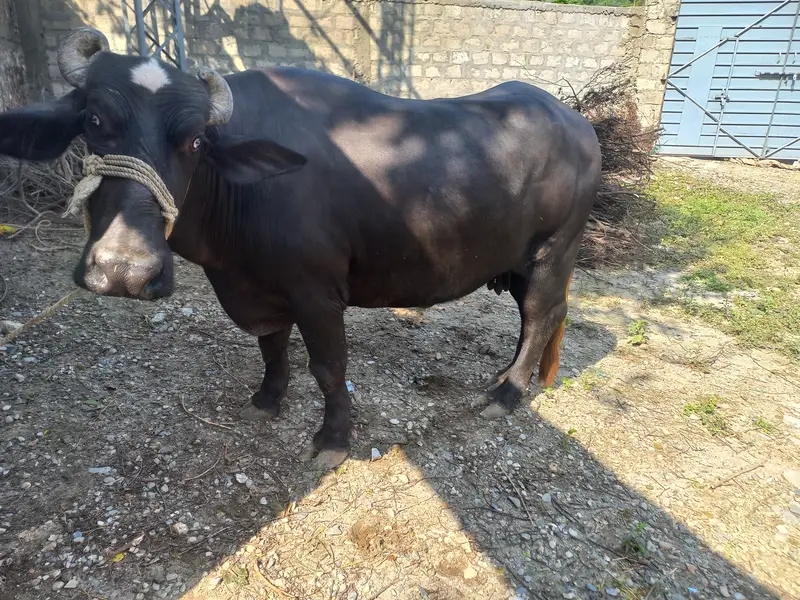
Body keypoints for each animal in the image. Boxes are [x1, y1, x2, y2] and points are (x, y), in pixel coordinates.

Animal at [0, 27, 601, 470]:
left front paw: (332, 440)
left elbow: (329, 368)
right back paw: (507, 376)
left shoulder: (318, 293)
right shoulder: (258, 287)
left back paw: (508, 394)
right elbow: (271, 346)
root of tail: (579, 124)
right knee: (540, 316)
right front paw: (267, 400)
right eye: (94, 120)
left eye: (195, 141)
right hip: (519, 261)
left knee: (543, 314)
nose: (124, 271)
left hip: (553, 251)